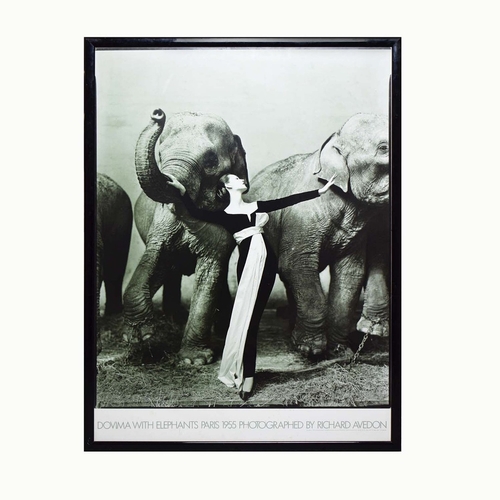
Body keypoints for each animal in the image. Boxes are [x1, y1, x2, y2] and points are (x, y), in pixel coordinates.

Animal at [122, 109, 249, 364]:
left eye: (210, 161)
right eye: (160, 155)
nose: (158, 114)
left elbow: (211, 267)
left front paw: (193, 361)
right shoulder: (161, 222)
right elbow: (155, 257)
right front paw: (139, 336)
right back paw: (174, 319)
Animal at [246, 113, 390, 359]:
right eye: (384, 148)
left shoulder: (357, 232)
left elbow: (350, 272)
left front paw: (340, 351)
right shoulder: (301, 217)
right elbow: (296, 265)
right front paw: (310, 350)